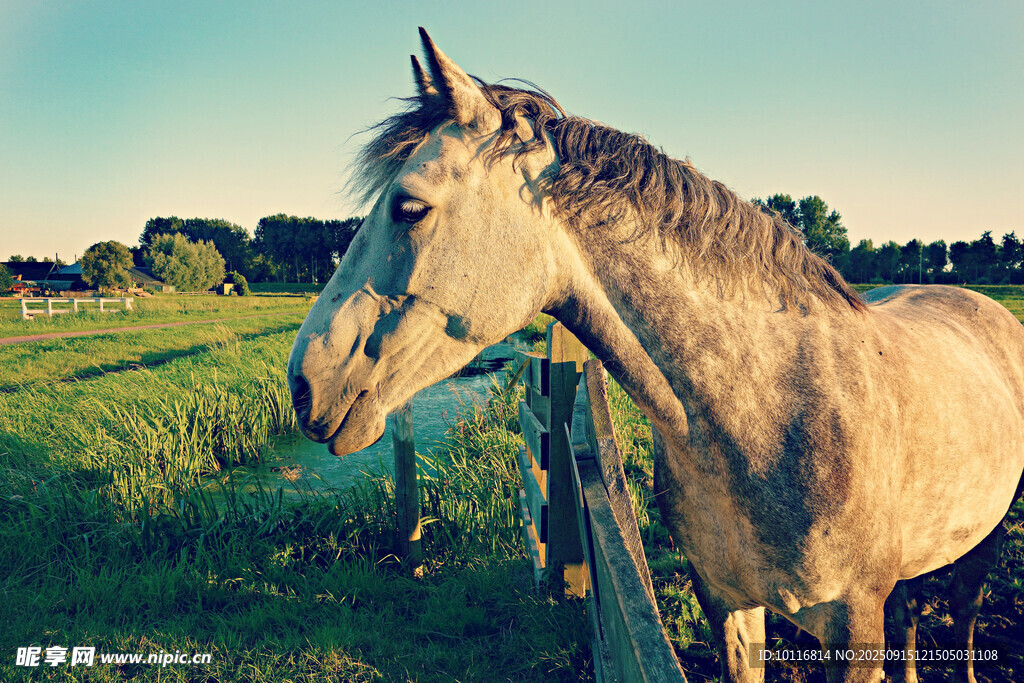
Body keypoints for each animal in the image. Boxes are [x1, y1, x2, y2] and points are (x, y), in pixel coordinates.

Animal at [287, 29, 1024, 683]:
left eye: (409, 207)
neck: (770, 412)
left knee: (963, 612)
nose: (303, 382)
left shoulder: (852, 626)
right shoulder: (727, 603)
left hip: (981, 541)